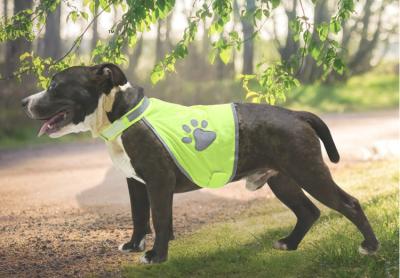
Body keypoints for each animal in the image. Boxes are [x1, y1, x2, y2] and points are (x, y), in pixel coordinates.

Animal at [21, 64, 378, 264]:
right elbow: (140, 217)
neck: (120, 111)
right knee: (308, 211)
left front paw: (156, 256)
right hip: (283, 179)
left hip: (308, 172)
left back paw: (370, 246)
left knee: (349, 203)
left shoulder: (158, 183)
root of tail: (297, 114)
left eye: (54, 86)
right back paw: (289, 244)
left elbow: (159, 218)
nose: (24, 101)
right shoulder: (136, 184)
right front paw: (136, 246)